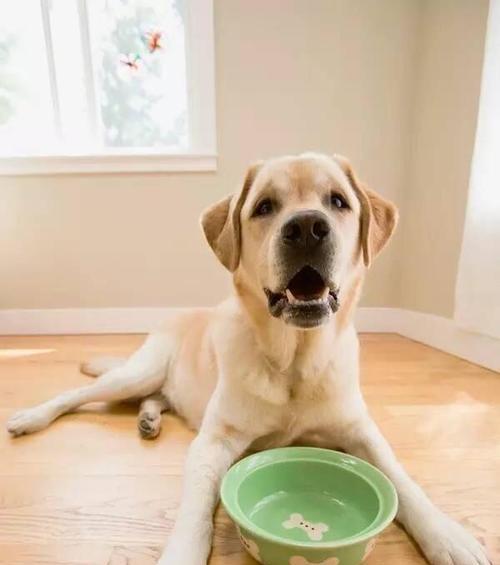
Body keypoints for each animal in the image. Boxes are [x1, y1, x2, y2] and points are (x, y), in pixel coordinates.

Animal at [5, 154, 490, 564]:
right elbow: (194, 513)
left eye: (338, 201)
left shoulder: (361, 431)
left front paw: (450, 537)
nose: (307, 227)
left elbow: (405, 482)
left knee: (158, 398)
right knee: (78, 394)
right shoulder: (213, 444)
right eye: (264, 207)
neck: (294, 362)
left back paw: (149, 419)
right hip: (135, 374)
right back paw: (33, 417)